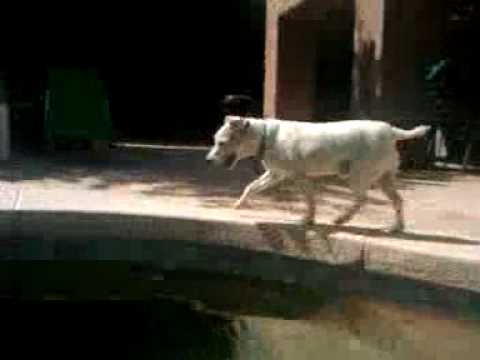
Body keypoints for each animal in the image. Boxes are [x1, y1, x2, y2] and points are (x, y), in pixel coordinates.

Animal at [206, 116, 432, 233]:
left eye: (221, 143)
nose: (208, 160)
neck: (266, 137)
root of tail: (391, 131)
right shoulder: (275, 174)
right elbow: (251, 187)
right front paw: (239, 205)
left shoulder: (299, 176)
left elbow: (310, 199)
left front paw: (307, 220)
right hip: (384, 178)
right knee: (397, 200)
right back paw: (396, 227)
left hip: (357, 176)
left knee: (362, 198)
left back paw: (341, 219)